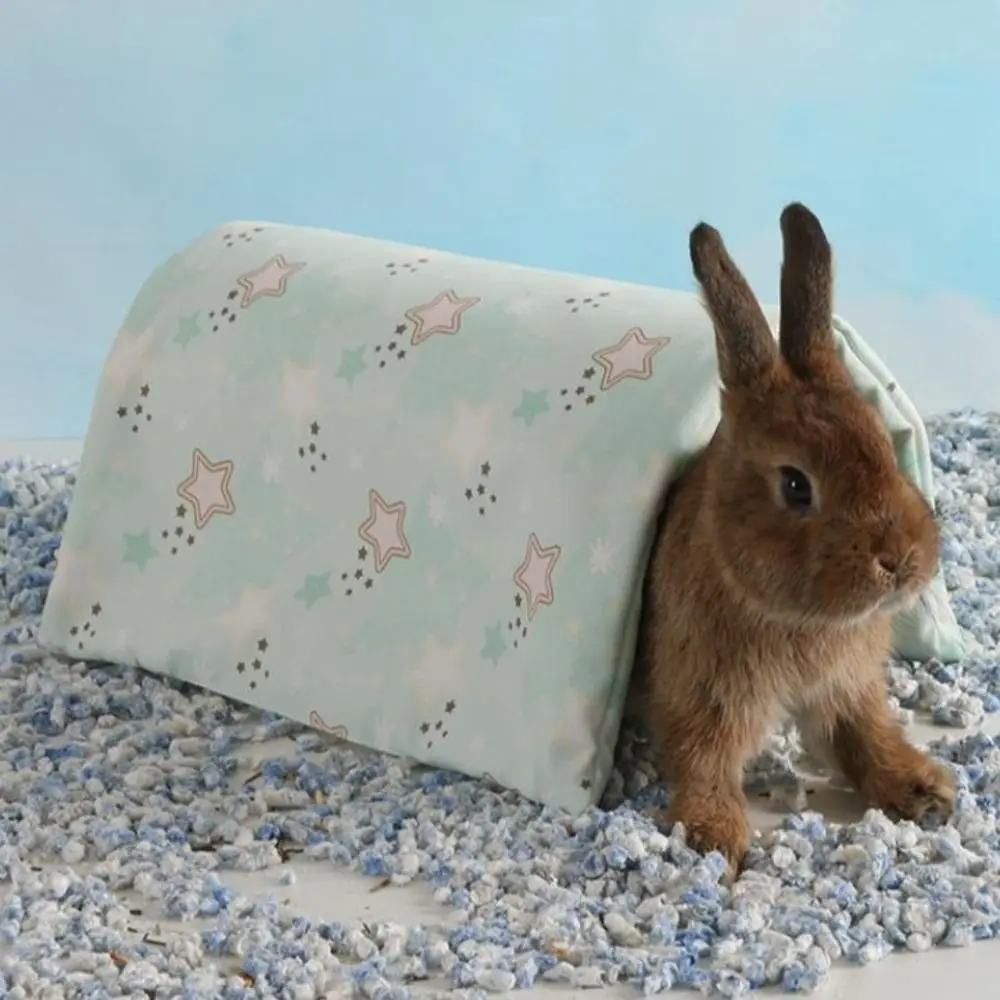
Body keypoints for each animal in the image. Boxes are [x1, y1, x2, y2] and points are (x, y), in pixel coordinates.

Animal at [636, 202, 955, 873]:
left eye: (884, 445)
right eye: (794, 484)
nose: (900, 561)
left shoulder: (847, 690)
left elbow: (863, 737)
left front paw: (924, 791)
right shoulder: (699, 693)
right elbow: (702, 759)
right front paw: (714, 837)